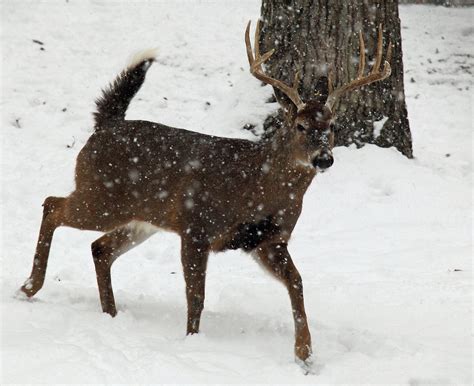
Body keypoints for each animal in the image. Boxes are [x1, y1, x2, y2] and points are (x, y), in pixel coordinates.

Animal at [18, 20, 390, 368]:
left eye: (332, 126)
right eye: (299, 125)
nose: (323, 159)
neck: (255, 188)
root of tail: (105, 125)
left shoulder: (269, 239)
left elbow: (297, 283)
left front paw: (305, 355)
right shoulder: (196, 226)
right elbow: (196, 295)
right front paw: (192, 342)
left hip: (142, 219)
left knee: (100, 248)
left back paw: (110, 313)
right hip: (101, 198)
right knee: (52, 205)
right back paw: (28, 288)